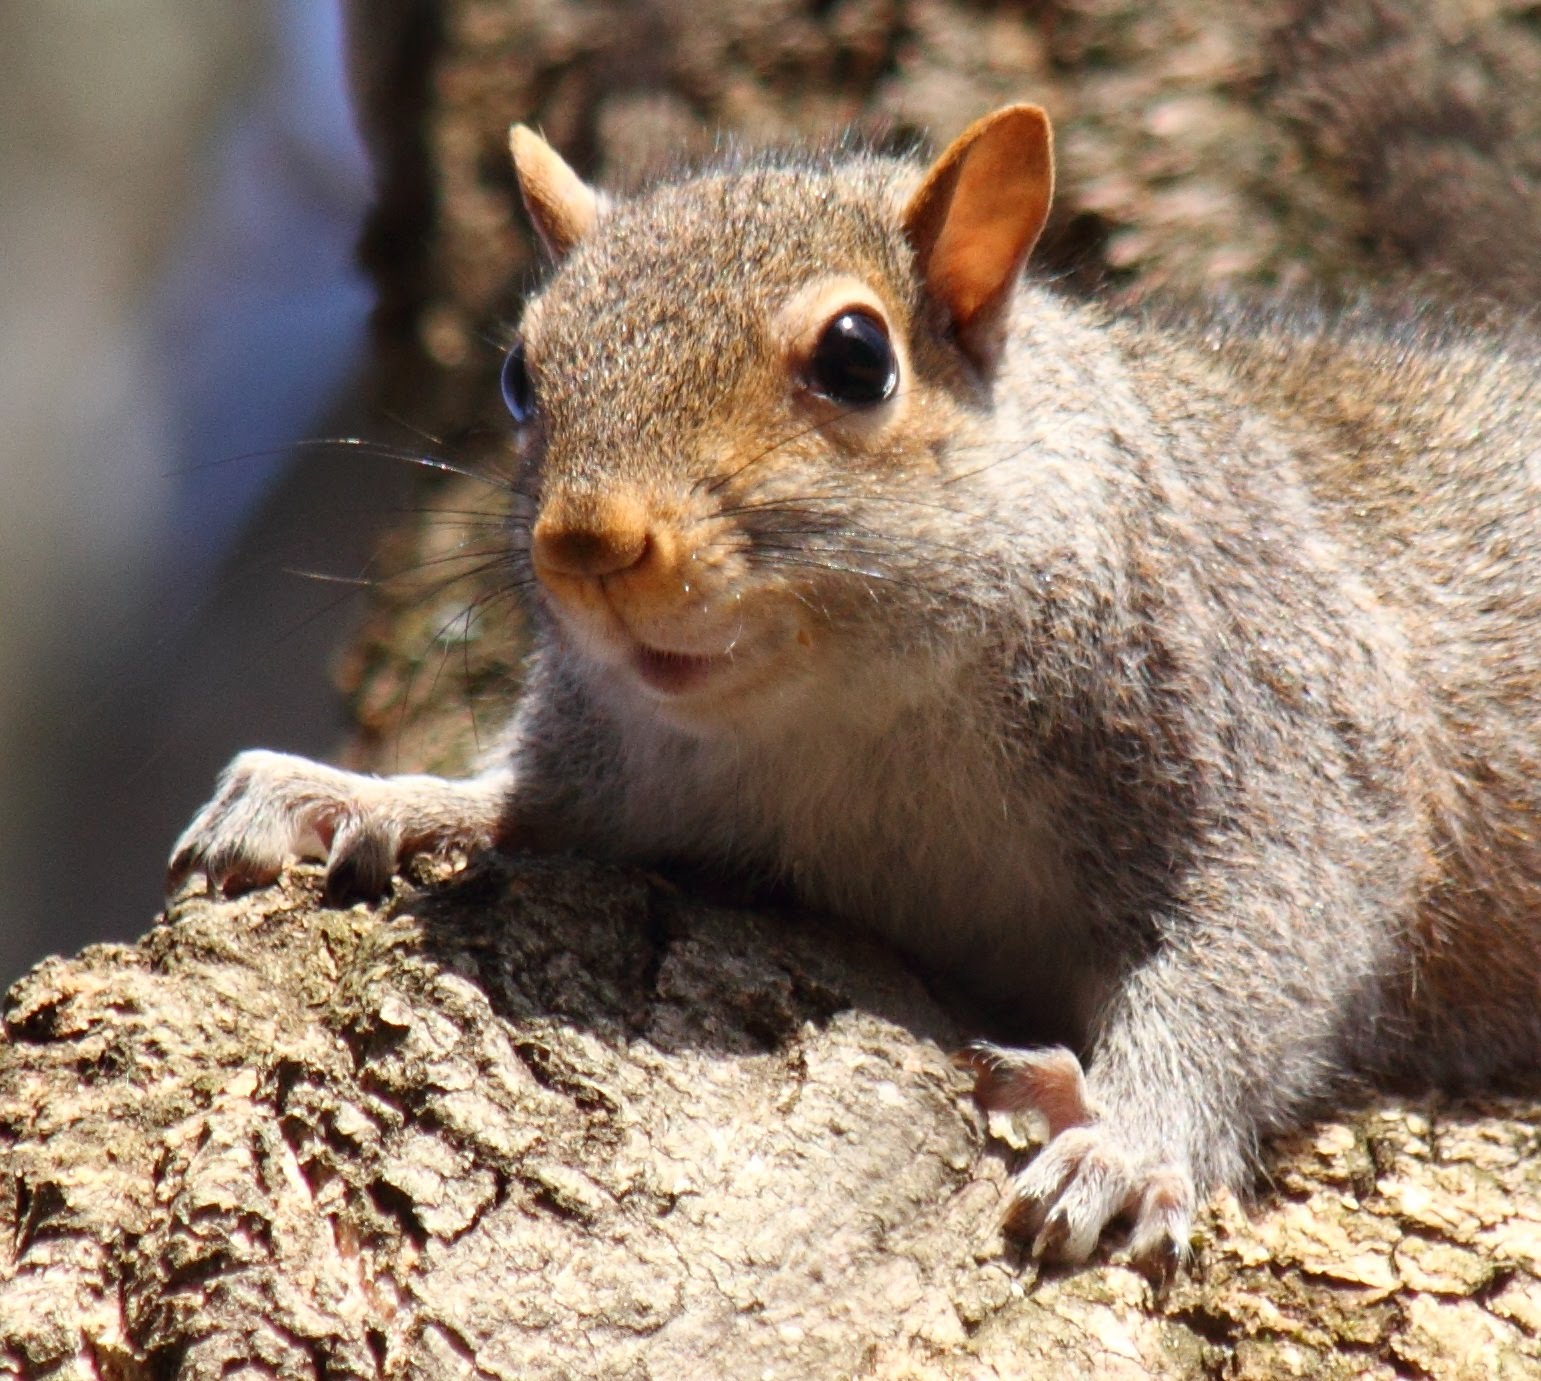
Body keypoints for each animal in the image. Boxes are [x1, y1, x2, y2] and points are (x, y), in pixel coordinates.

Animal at [168, 105, 1541, 1276]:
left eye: (854, 356)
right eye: (520, 372)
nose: (590, 544)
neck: (850, 709)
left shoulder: (1272, 708)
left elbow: (1259, 939)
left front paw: (1126, 1142)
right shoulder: (625, 765)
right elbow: (524, 806)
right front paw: (361, 795)